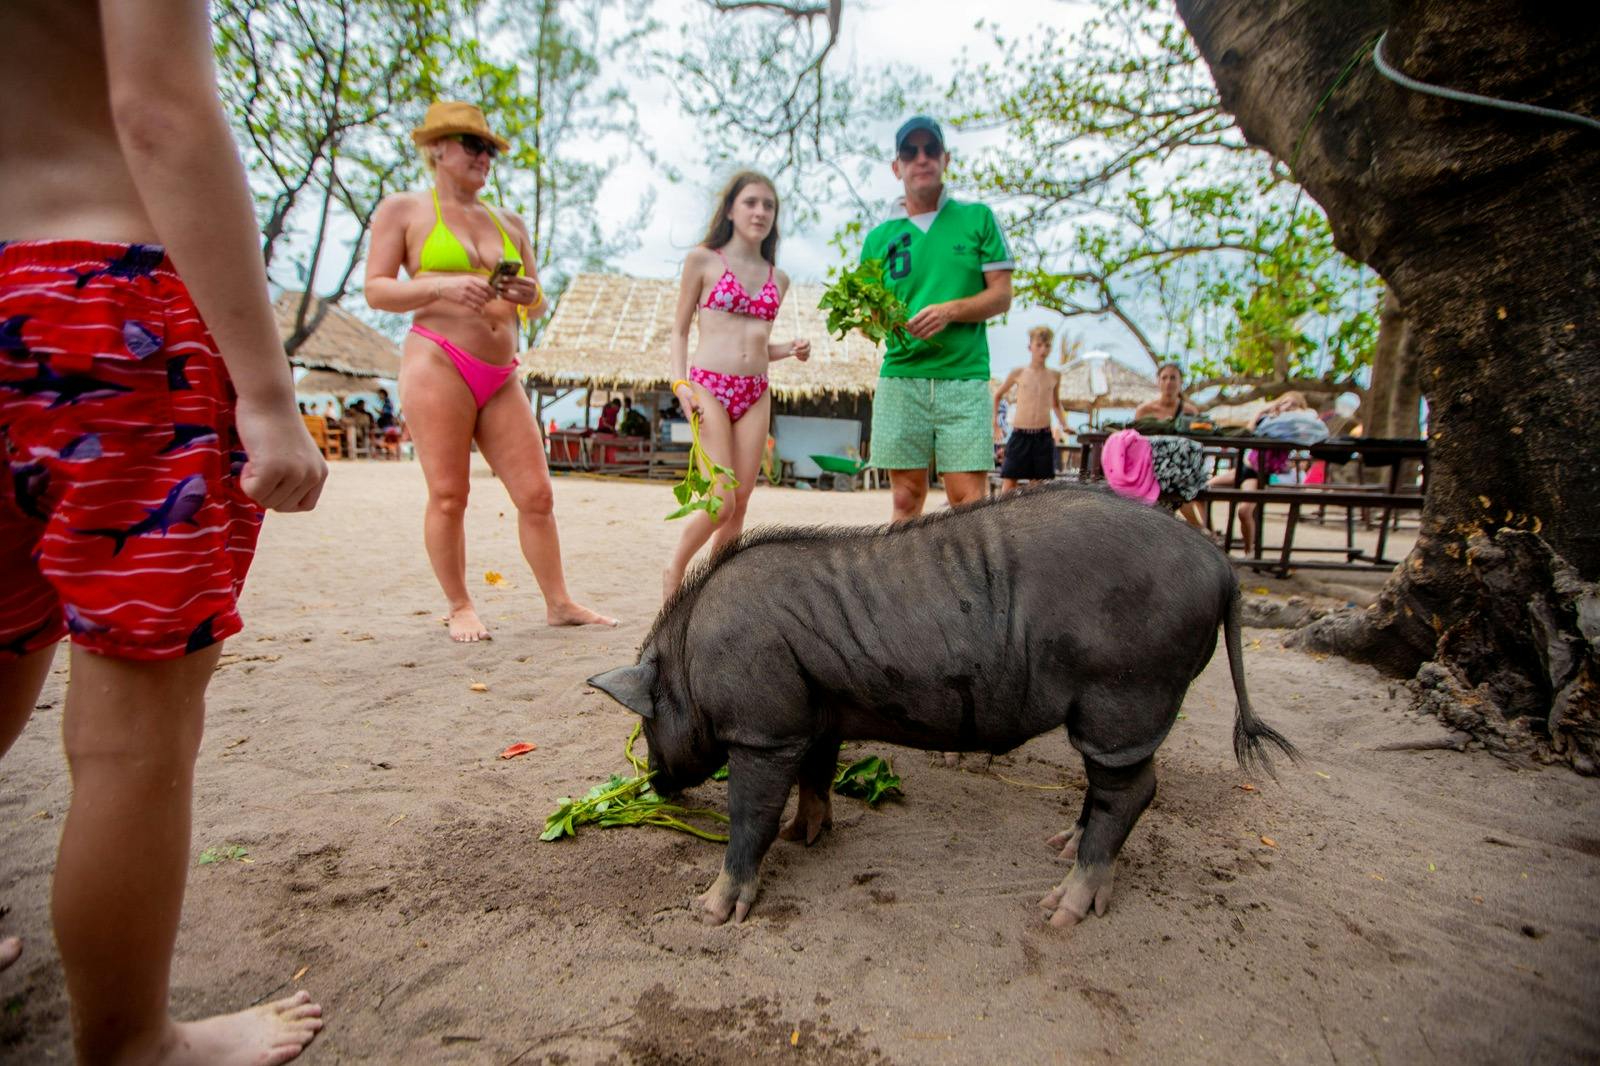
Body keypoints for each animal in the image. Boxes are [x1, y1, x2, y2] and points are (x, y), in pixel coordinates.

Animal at [589, 481, 1298, 928]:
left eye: (646, 721)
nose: (655, 784)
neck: (686, 657)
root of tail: (1222, 568)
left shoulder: (763, 729)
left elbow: (748, 816)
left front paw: (709, 912)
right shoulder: (815, 712)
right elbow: (817, 776)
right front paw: (804, 836)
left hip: (1126, 693)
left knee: (1133, 787)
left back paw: (1059, 910)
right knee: (1112, 785)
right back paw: (1061, 846)